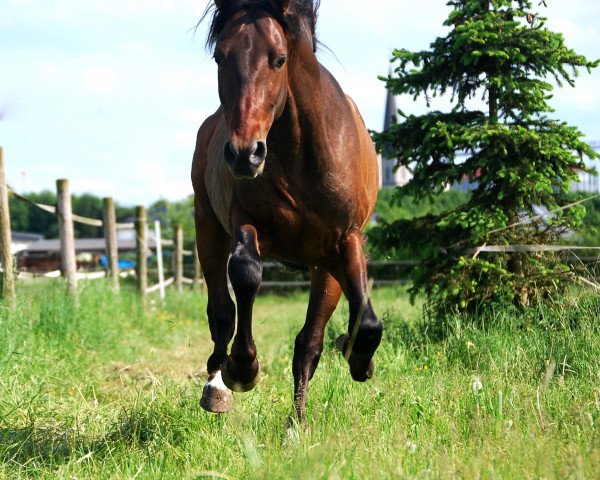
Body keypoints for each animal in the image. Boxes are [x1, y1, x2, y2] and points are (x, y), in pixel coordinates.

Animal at [192, 0, 380, 420]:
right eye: (219, 56)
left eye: (279, 60)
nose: (244, 154)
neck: (302, 159)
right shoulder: (245, 220)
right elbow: (245, 275)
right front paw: (243, 369)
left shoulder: (346, 240)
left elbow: (366, 322)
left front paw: (360, 359)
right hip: (207, 227)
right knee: (220, 311)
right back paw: (217, 387)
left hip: (322, 265)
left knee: (309, 343)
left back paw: (298, 421)